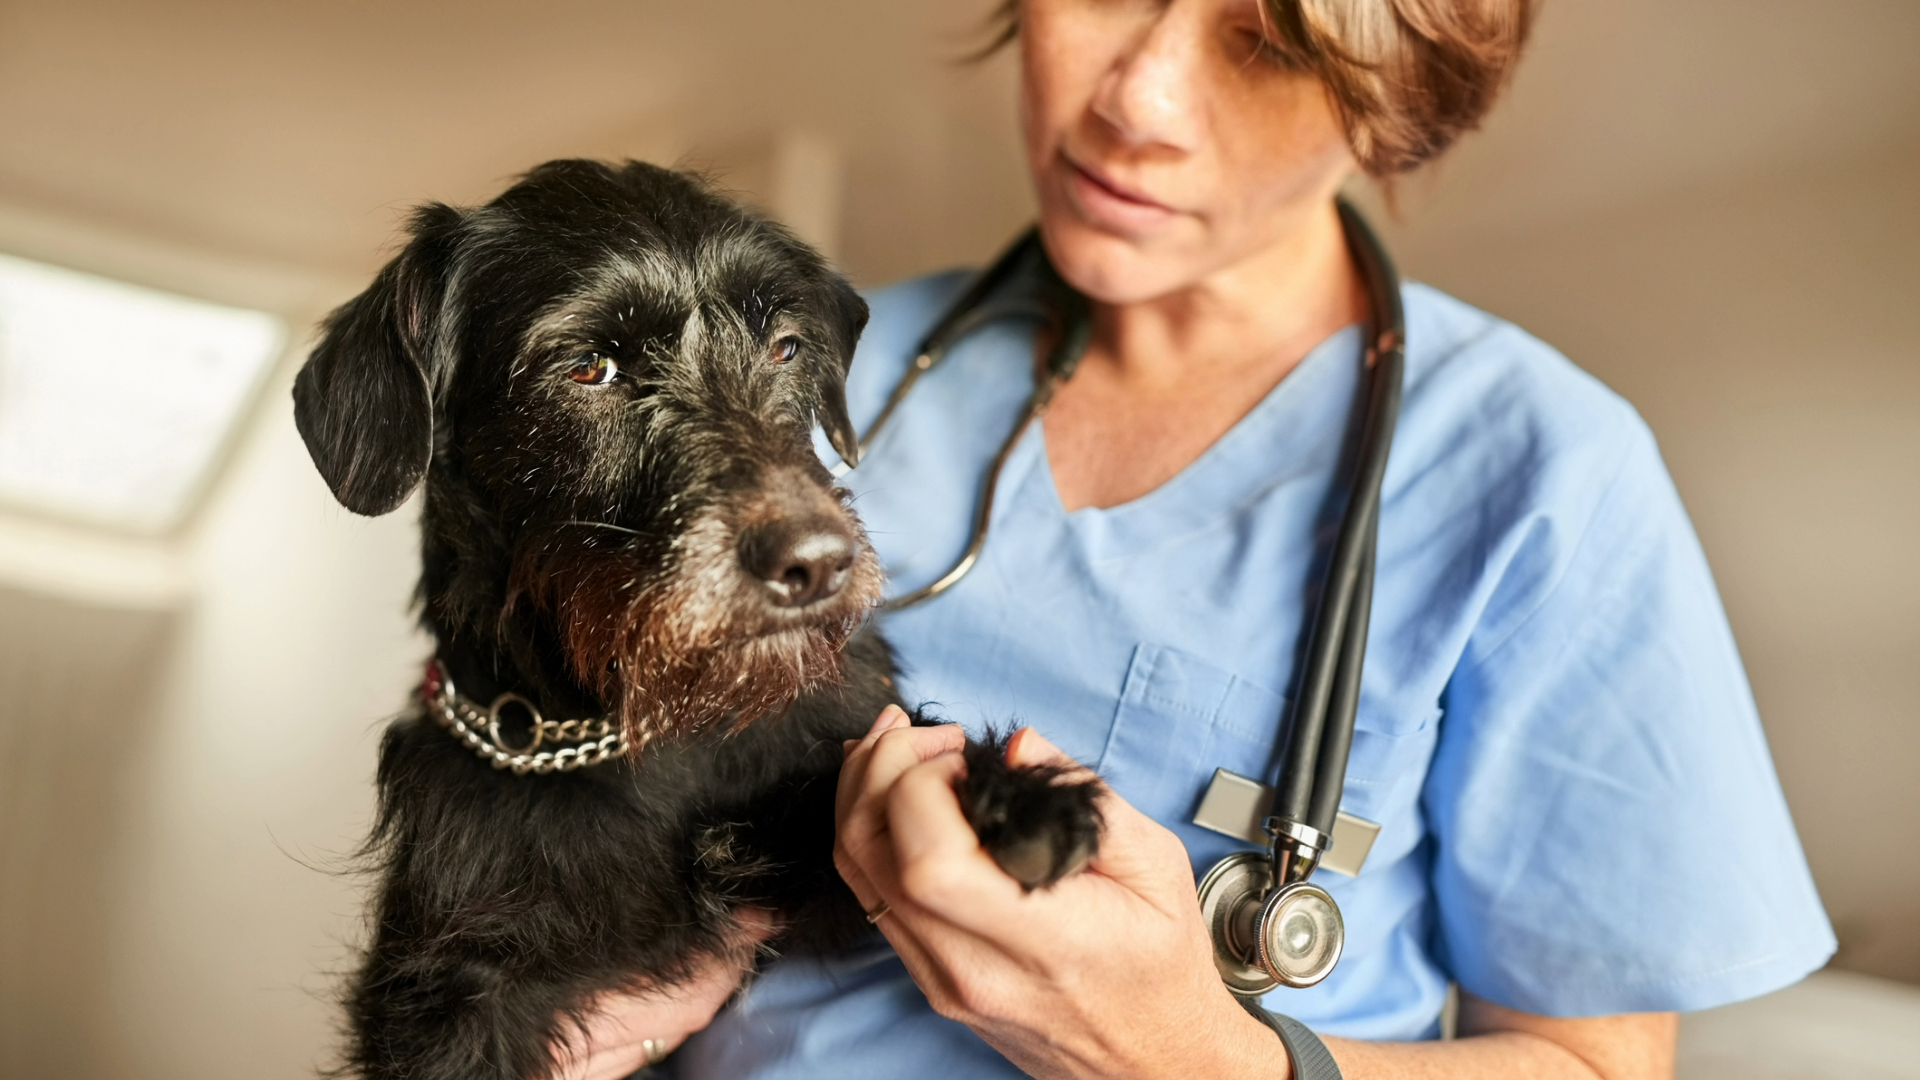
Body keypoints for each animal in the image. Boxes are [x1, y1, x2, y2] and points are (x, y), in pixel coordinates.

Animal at [297, 159, 1105, 1076]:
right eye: (588, 367)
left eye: (785, 347)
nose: (816, 562)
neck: (640, 733)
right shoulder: (448, 992)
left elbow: (892, 757)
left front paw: (1009, 795)